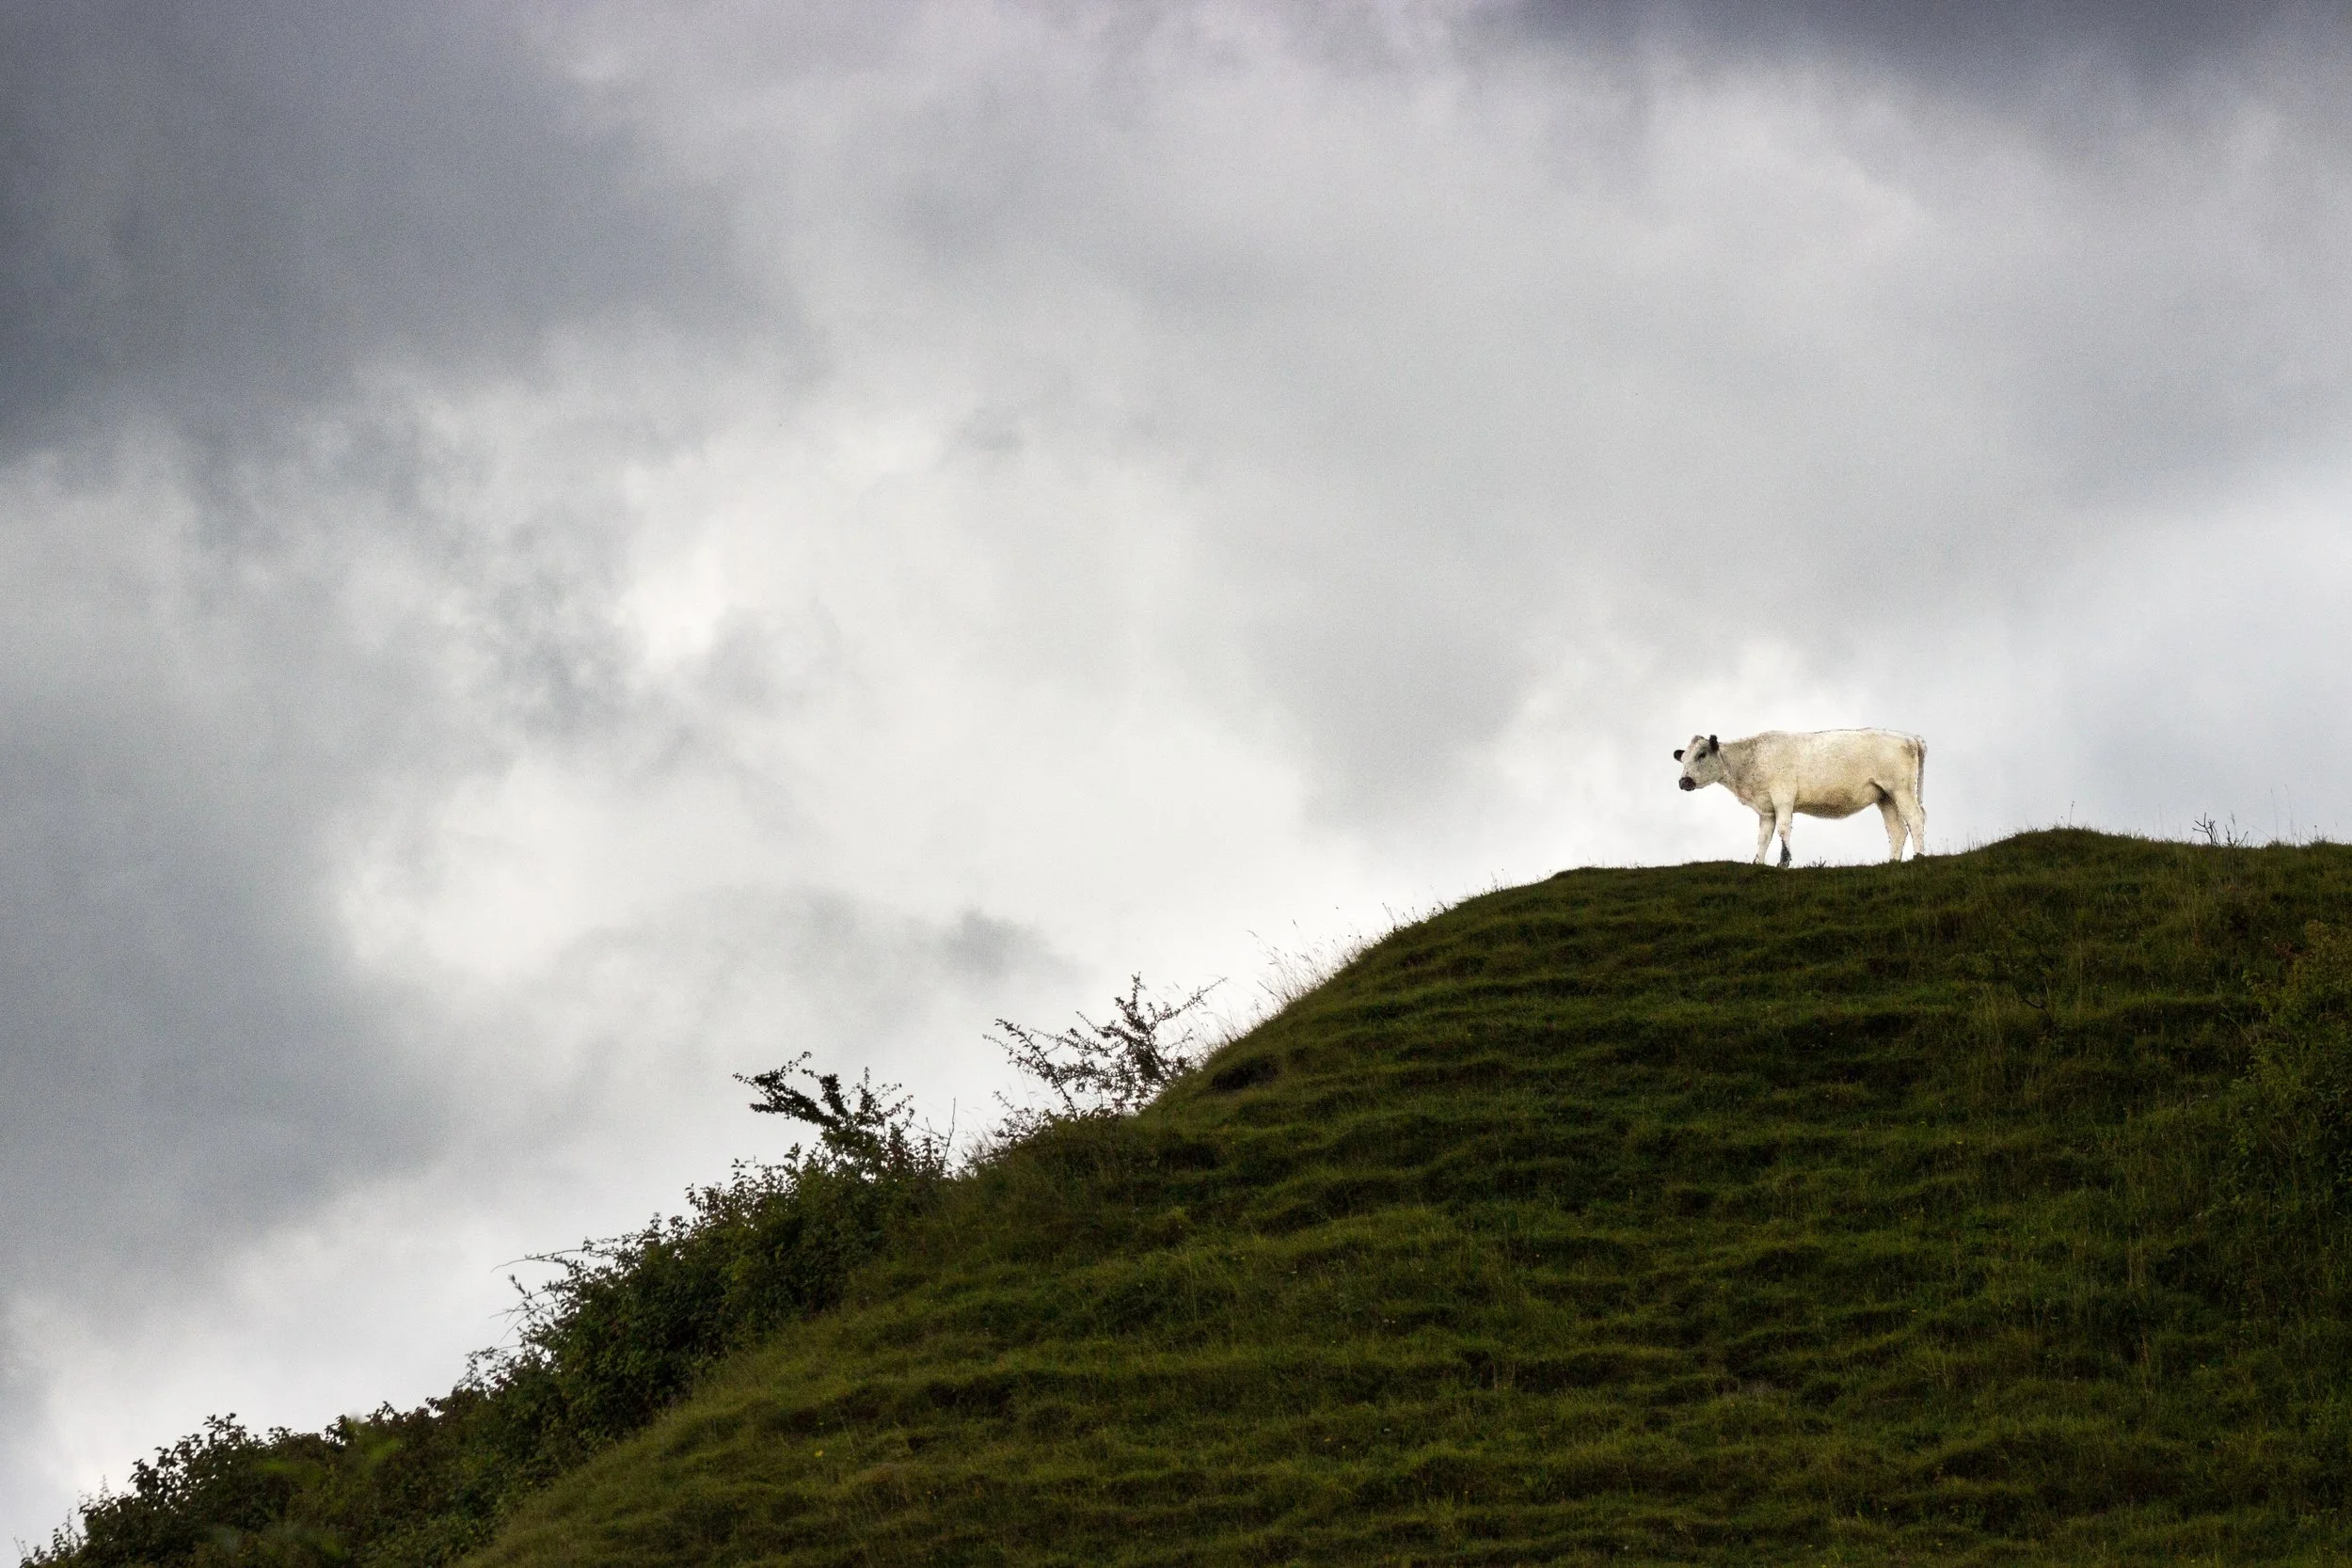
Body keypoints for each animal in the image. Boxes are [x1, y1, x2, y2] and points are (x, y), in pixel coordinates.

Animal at [1675, 729, 1926, 867]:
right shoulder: (1766, 808)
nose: (1683, 781)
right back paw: (1891, 863)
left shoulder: (1783, 796)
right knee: (1897, 830)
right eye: (1683, 758)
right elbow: (1763, 837)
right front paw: (1758, 863)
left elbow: (1784, 828)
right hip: (1885, 796)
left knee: (1915, 818)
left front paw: (1784, 861)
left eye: (1702, 754)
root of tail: (1910, 738)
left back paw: (1919, 856)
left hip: (1901, 789)